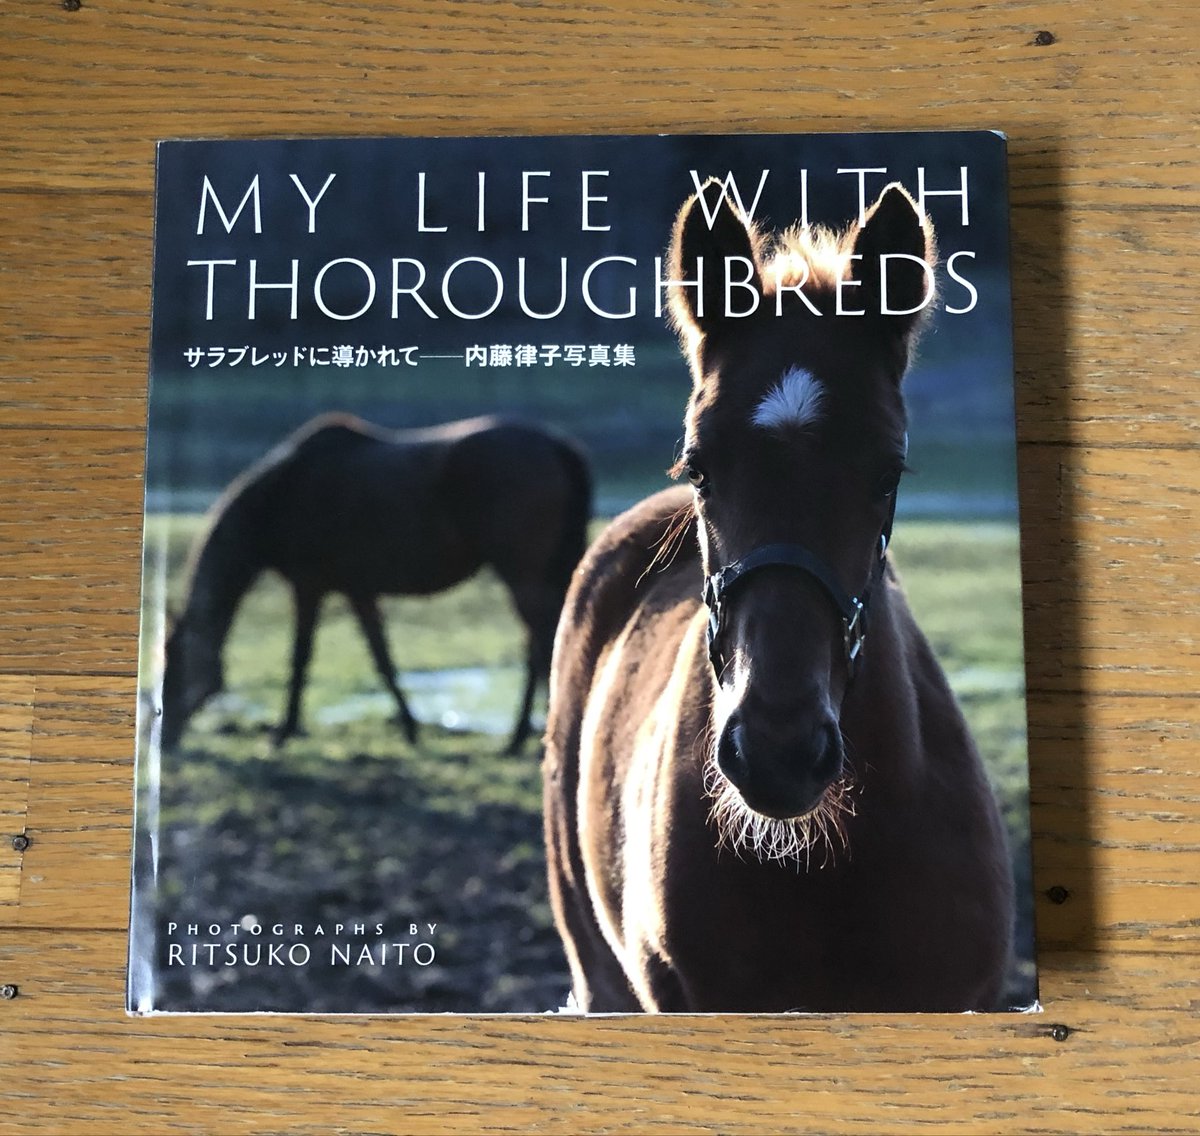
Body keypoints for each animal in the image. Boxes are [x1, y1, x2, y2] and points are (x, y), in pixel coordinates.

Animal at [160, 413, 591, 755]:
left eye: (174, 666)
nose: (165, 740)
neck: (280, 494)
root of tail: (556, 445)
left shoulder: (308, 584)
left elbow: (300, 657)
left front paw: (282, 733)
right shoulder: (358, 590)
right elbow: (382, 658)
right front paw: (411, 728)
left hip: (521, 576)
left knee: (542, 647)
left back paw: (524, 741)